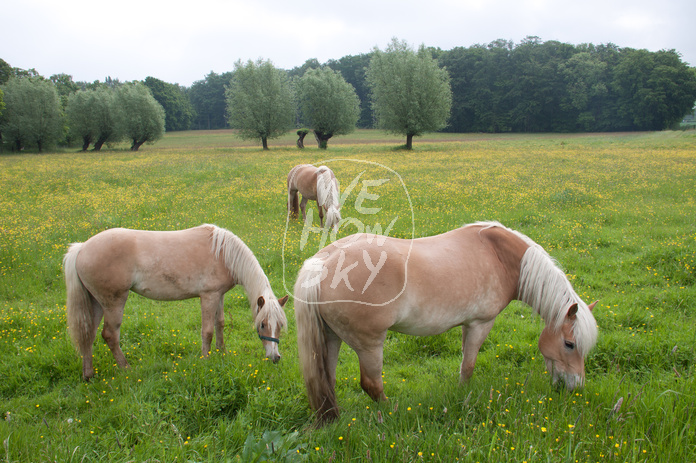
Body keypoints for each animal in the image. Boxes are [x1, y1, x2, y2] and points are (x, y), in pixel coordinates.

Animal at [61, 224, 286, 380]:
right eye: (262, 324)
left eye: (280, 326)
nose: (276, 357)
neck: (223, 253)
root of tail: (81, 248)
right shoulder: (208, 296)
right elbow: (207, 331)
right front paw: (206, 360)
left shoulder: (219, 295)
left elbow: (220, 324)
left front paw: (222, 354)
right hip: (113, 302)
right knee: (109, 335)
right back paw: (127, 370)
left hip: (96, 303)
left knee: (88, 335)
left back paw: (88, 375)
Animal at [294, 221, 600, 424]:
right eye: (569, 344)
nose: (576, 388)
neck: (500, 256)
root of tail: (322, 263)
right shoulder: (481, 323)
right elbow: (468, 366)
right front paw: (463, 397)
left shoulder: (467, 324)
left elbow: (464, 361)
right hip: (369, 344)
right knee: (372, 384)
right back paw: (392, 412)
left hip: (331, 337)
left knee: (328, 379)